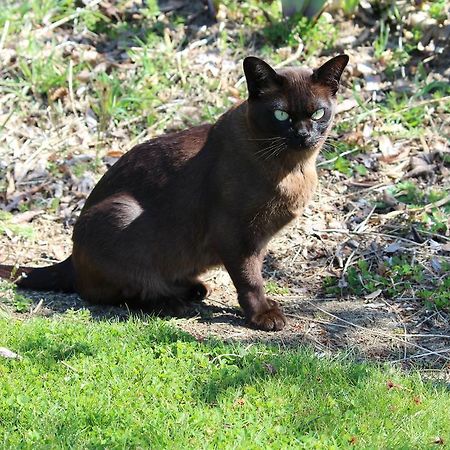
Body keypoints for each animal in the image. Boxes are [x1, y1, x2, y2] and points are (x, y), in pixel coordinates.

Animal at [0, 54, 350, 332]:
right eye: (281, 115)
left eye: (317, 114)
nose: (303, 135)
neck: (293, 168)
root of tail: (70, 259)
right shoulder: (234, 235)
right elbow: (250, 281)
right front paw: (263, 316)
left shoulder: (257, 240)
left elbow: (254, 276)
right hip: (121, 212)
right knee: (114, 293)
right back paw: (171, 303)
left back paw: (190, 290)